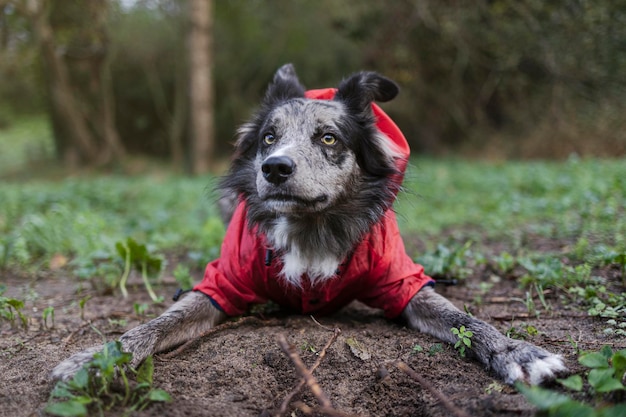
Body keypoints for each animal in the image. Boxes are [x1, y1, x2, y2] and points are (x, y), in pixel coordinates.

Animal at [51, 63, 564, 386]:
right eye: (268, 137)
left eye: (329, 138)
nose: (274, 168)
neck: (311, 226)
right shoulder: (220, 285)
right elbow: (158, 322)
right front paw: (98, 358)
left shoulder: (404, 284)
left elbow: (467, 319)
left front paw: (517, 352)